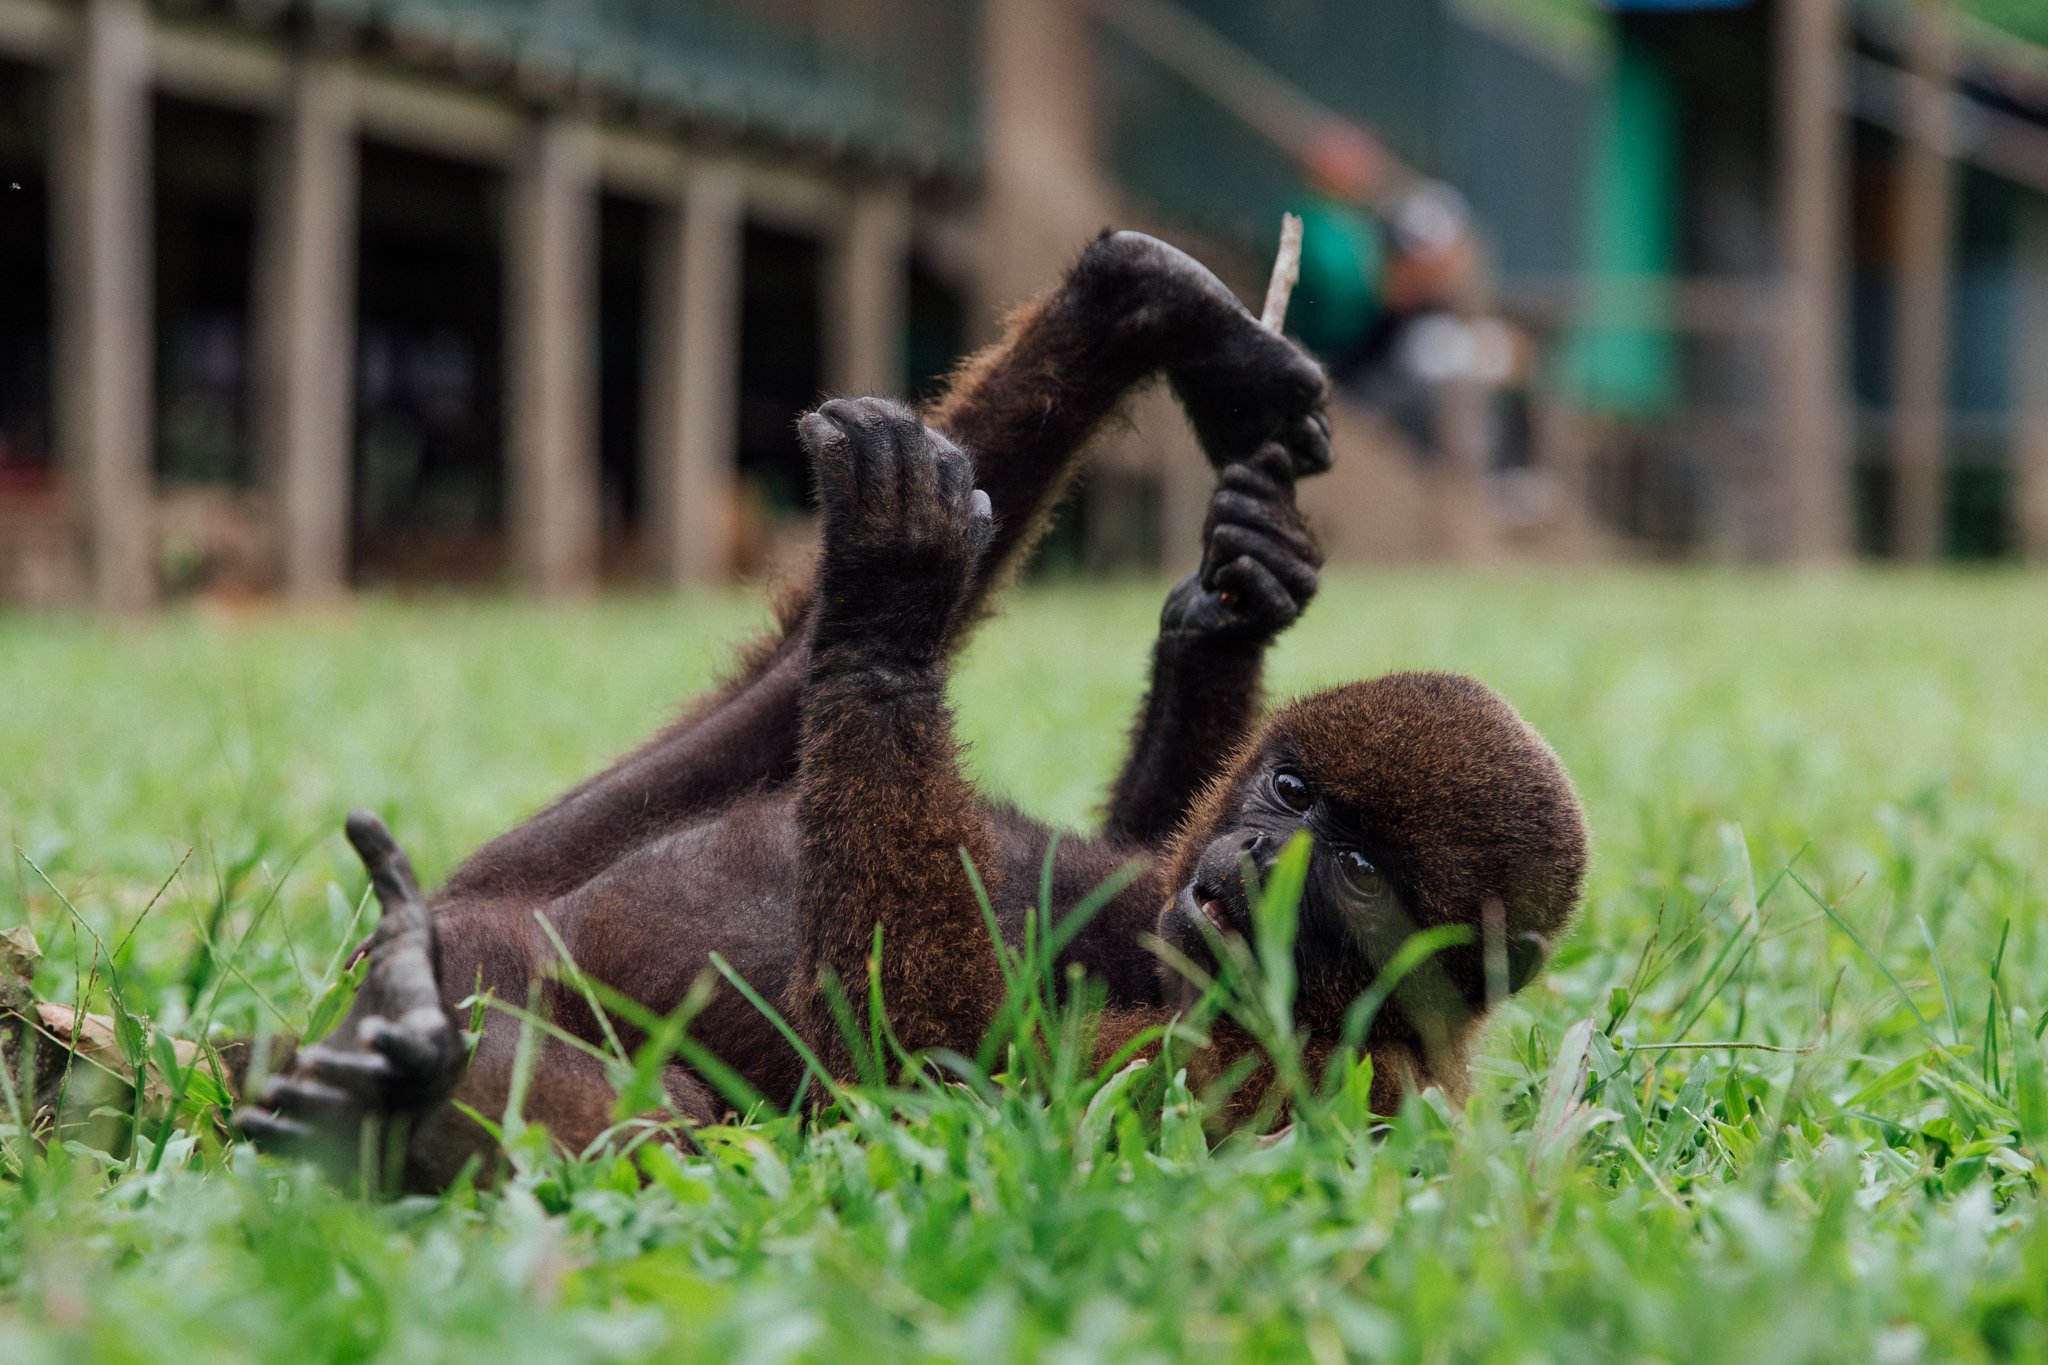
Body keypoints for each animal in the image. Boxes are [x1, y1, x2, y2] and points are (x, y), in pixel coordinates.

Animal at [220, 229, 1581, 1186]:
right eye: (1291, 793)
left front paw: (892, 601)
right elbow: (1130, 840)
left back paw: (390, 1091)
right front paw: (1237, 593)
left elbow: (929, 1072)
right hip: (514, 879)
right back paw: (1150, 306)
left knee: (647, 1124)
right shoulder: (1167, 882)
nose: (1255, 855)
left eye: (1351, 874)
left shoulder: (1275, 1088)